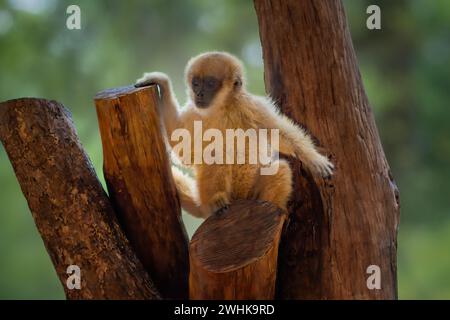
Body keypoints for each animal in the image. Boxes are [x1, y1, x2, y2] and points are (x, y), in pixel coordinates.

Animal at [135, 51, 332, 219]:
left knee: (280, 169)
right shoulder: (195, 112)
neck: (223, 108)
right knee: (216, 153)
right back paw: (217, 202)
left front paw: (314, 159)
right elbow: (186, 151)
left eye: (210, 83)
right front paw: (163, 86)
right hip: (205, 195)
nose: (199, 93)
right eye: (196, 83)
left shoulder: (251, 106)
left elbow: (280, 132)